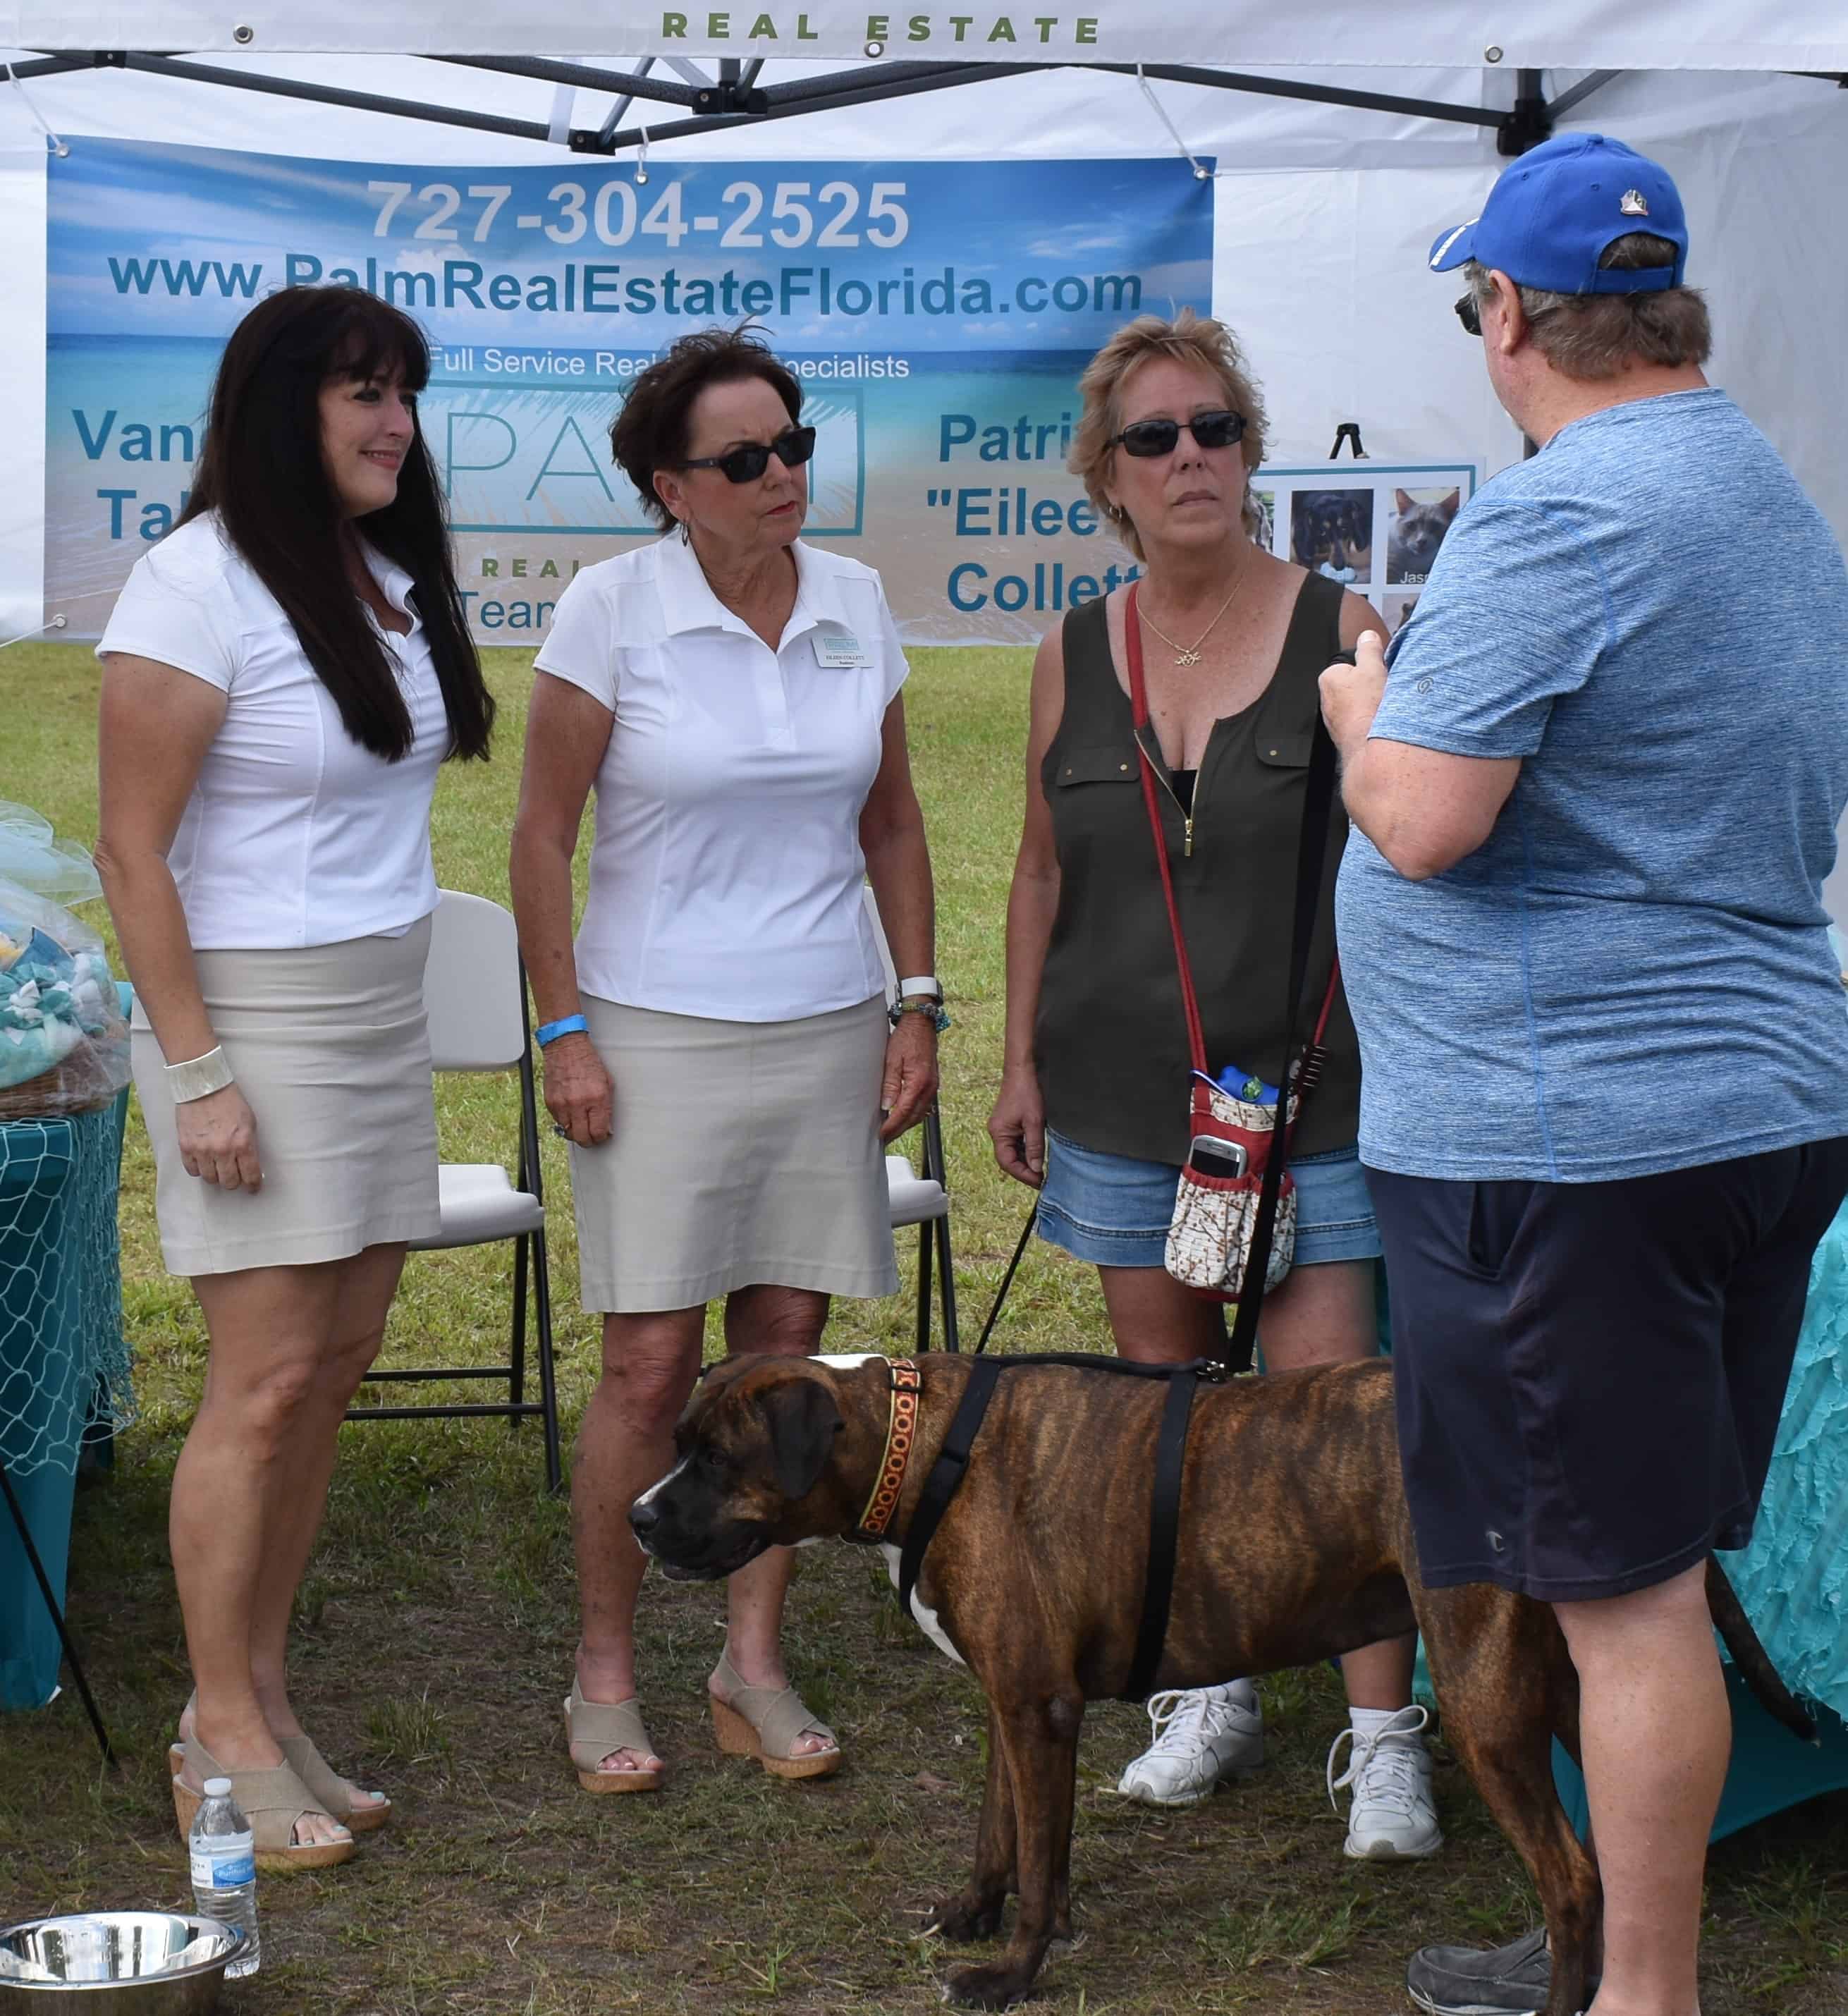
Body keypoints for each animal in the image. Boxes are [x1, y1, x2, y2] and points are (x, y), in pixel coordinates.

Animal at [628, 1346, 1813, 2008]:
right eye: (676, 1441)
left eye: (714, 1457)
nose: (637, 1516)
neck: (915, 1445)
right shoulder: (1014, 1702)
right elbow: (1003, 1832)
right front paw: (973, 1912)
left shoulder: (1039, 1707)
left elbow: (1042, 1862)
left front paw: (1014, 1973)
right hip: (1555, 1681)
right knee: (1607, 1857)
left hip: (1484, 1701)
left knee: (1569, 1876)